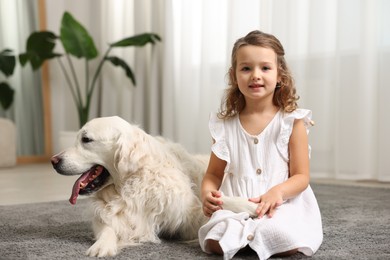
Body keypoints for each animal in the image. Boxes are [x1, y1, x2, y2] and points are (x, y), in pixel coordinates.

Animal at [51, 117, 258, 256]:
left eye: (86, 140)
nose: (53, 161)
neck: (130, 183)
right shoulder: (109, 215)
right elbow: (107, 228)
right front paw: (102, 245)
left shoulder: (187, 214)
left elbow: (215, 203)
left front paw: (249, 205)